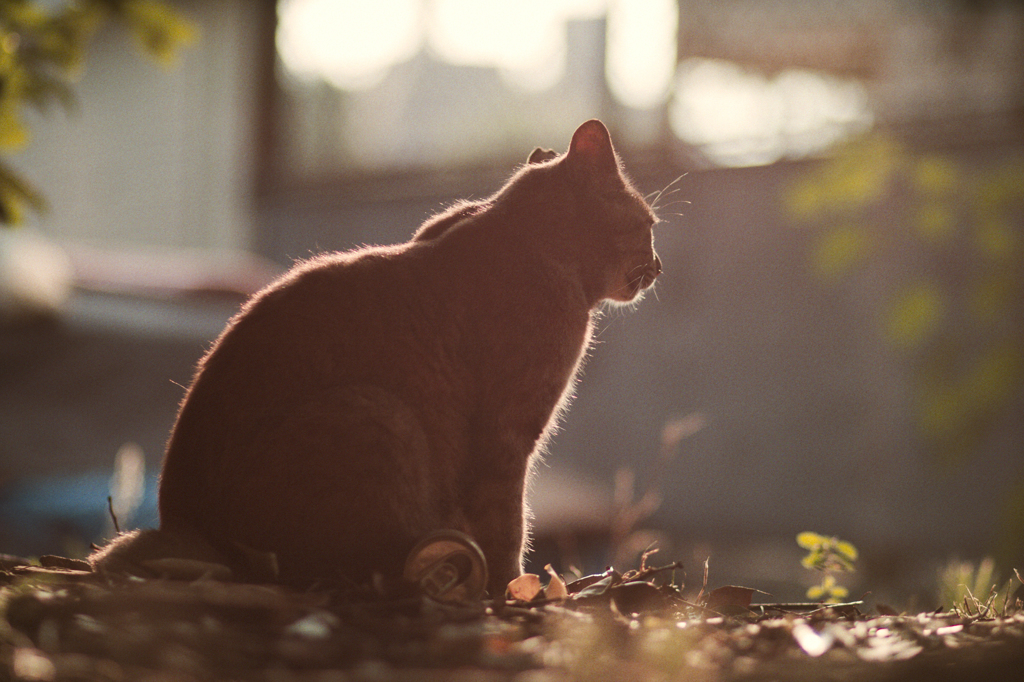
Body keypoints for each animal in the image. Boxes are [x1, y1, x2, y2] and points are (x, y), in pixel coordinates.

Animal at [92, 120, 659, 593]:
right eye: (650, 225)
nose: (658, 265)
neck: (524, 233)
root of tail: (182, 526)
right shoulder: (507, 437)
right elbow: (508, 522)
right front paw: (514, 591)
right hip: (378, 412)